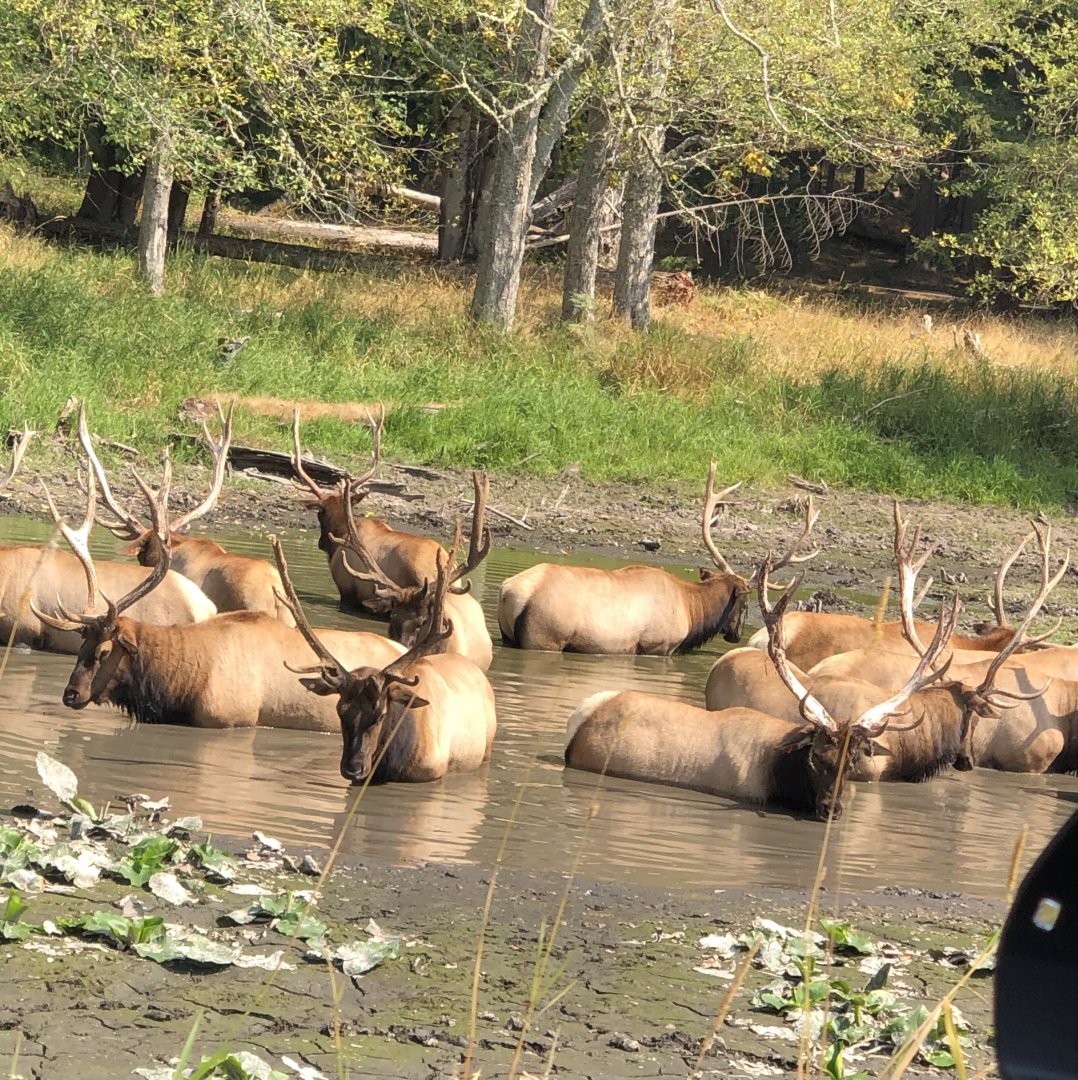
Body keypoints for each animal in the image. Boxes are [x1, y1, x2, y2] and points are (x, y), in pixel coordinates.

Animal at [498, 465, 818, 655]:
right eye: (745, 602)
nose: (736, 635)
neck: (691, 609)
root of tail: (509, 591)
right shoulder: (657, 646)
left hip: (509, 636)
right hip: (545, 637)